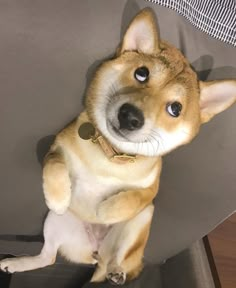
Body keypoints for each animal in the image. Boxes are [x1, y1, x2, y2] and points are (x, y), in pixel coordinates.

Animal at [0, 7, 236, 284]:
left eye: (175, 109)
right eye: (141, 73)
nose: (130, 115)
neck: (110, 155)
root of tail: (94, 254)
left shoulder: (151, 189)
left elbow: (133, 198)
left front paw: (106, 210)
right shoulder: (58, 147)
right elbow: (55, 164)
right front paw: (58, 196)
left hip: (141, 222)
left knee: (120, 260)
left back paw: (116, 272)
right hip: (56, 223)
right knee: (47, 257)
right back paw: (15, 263)